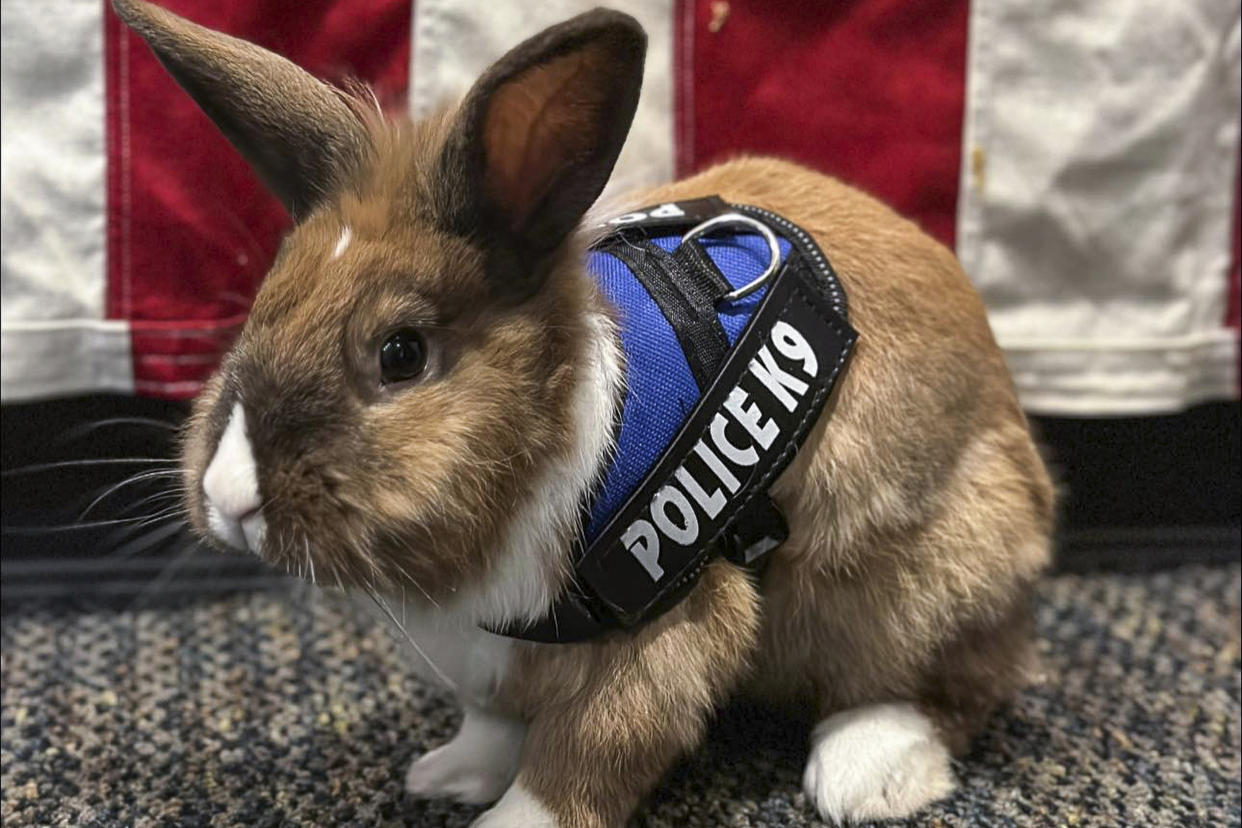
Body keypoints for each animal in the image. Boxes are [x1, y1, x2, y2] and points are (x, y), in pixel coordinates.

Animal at [111, 3, 1053, 824]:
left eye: (401, 353)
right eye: (262, 308)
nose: (230, 496)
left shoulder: (666, 630)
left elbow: (587, 754)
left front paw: (505, 821)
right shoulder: (493, 655)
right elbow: (495, 724)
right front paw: (448, 774)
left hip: (920, 577)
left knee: (944, 686)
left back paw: (865, 777)